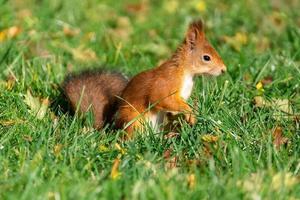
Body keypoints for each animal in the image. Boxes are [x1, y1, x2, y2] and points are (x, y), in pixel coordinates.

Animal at [62, 19, 225, 136]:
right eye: (206, 57)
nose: (224, 70)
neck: (185, 72)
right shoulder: (165, 83)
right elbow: (161, 98)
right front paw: (189, 112)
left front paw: (191, 114)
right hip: (134, 120)